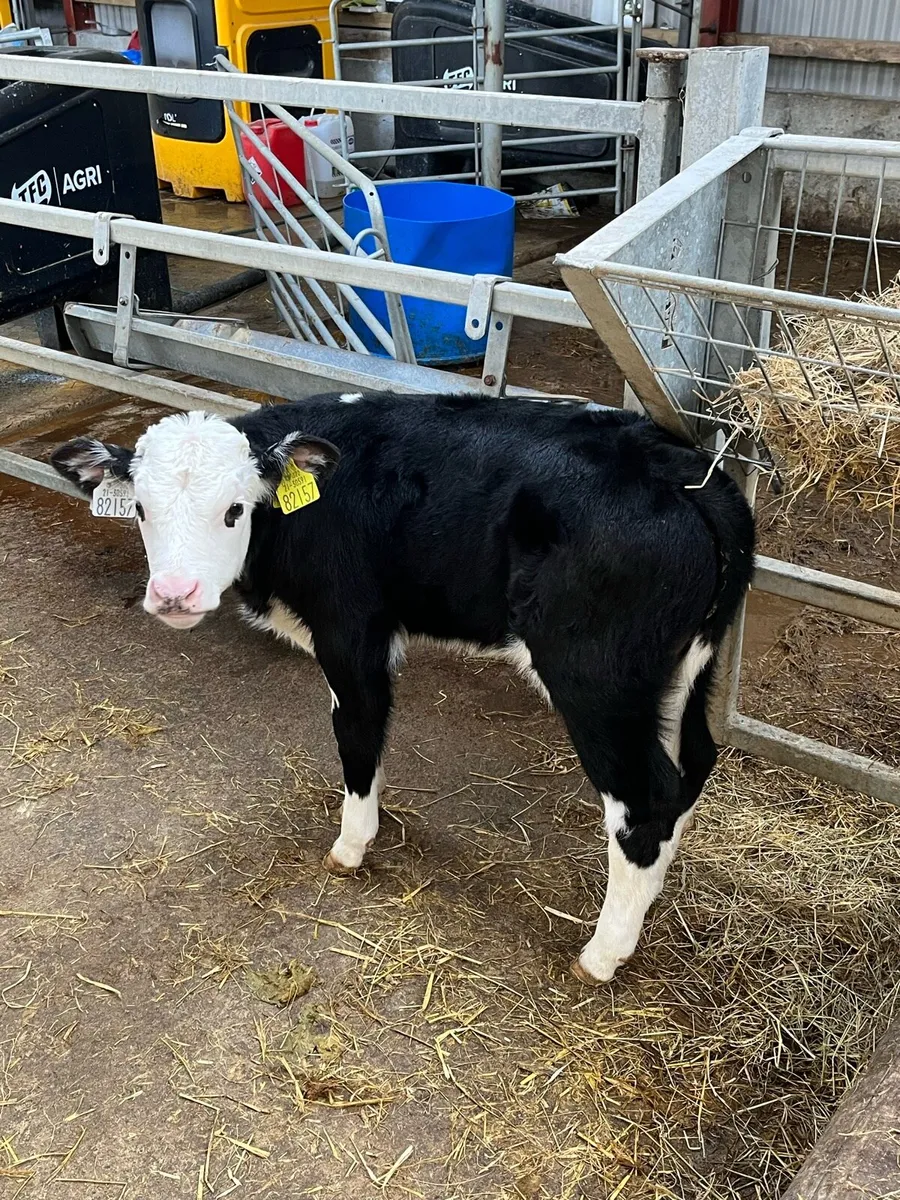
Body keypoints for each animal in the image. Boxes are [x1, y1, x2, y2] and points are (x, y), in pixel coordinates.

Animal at [52, 394, 754, 983]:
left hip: (596, 678)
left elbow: (358, 728)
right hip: (685, 668)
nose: (175, 595)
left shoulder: (349, 629)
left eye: (234, 510)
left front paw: (351, 843)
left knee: (645, 797)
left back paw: (603, 953)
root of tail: (682, 467)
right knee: (692, 763)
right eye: (140, 509)